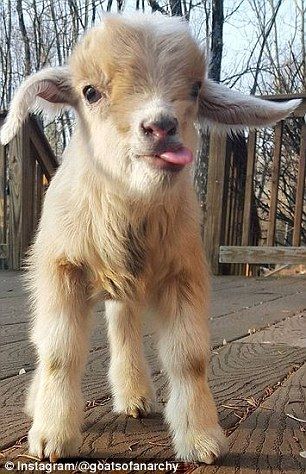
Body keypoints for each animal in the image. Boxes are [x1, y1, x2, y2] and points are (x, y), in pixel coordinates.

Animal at [1, 12, 300, 464]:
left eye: (195, 89)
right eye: (90, 92)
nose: (161, 127)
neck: (129, 204)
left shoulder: (184, 272)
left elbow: (189, 358)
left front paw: (202, 439)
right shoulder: (60, 268)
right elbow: (58, 352)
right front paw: (52, 437)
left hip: (127, 287)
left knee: (123, 327)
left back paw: (136, 396)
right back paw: (42, 403)